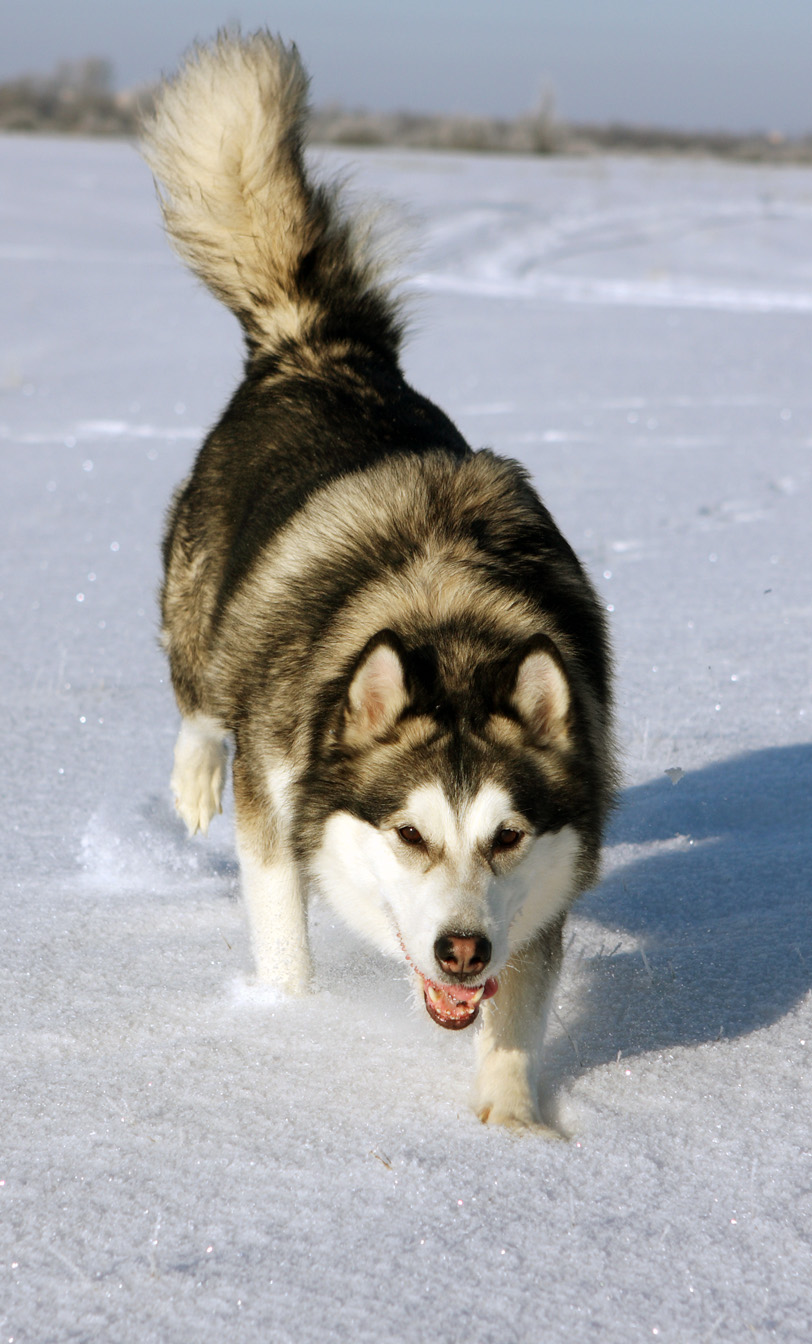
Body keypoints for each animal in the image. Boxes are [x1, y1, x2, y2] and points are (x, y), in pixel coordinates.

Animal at [142, 31, 618, 1128]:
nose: (461, 948)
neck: (444, 628)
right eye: (409, 834)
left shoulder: (545, 884)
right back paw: (191, 776)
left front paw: (514, 1124)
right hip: (203, 603)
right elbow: (281, 925)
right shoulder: (278, 798)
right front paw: (284, 1018)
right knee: (197, 694)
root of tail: (314, 342)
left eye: (507, 836)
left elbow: (517, 1009)